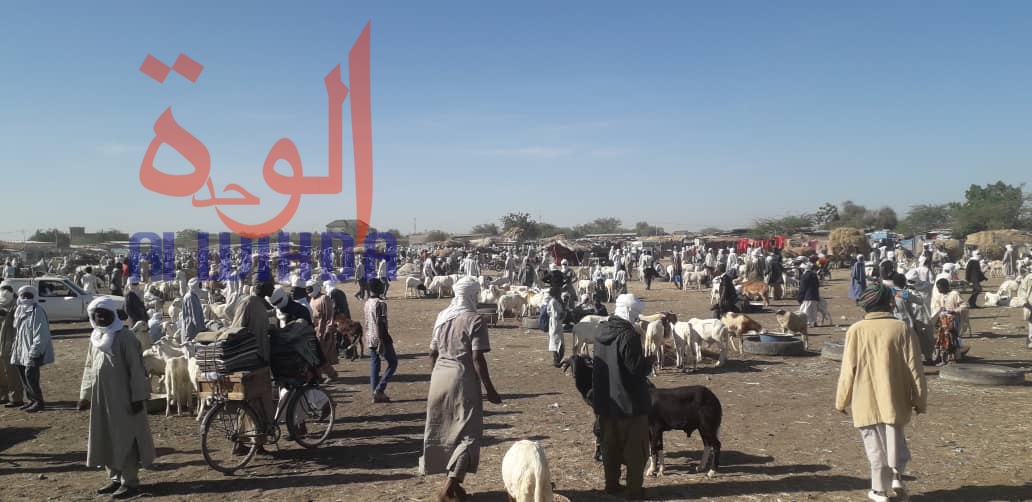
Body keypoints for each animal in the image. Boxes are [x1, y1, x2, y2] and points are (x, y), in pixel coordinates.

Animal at [565, 355, 726, 477]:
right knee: (707, 444)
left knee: (716, 445)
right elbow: (658, 447)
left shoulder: (655, 428)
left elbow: (654, 447)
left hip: (708, 425)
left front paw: (651, 471)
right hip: (703, 427)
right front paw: (658, 470)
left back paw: (712, 472)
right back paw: (701, 467)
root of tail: (714, 399)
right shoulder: (653, 429)